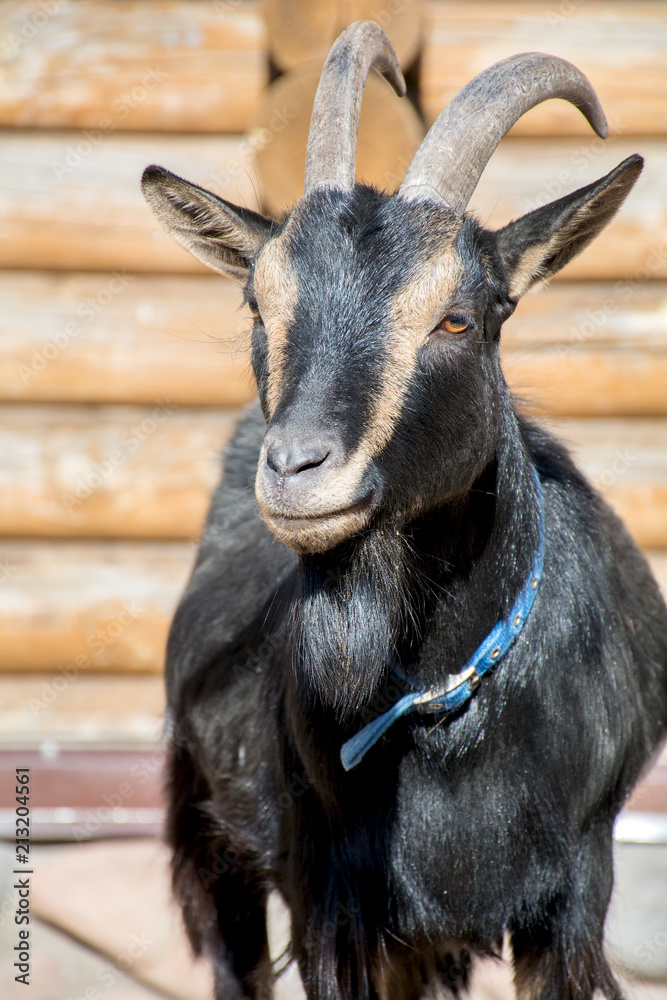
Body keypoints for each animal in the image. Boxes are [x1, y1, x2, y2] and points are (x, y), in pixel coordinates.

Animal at [141, 22, 667, 1000]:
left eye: (458, 319)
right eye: (259, 307)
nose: (298, 468)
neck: (437, 698)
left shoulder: (573, 901)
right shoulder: (330, 904)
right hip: (212, 836)